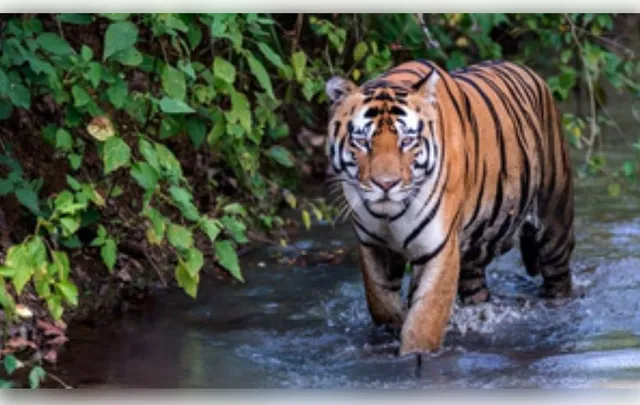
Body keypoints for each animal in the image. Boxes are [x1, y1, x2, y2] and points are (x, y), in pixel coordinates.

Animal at [324, 59, 575, 355]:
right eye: (362, 142)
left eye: (407, 141)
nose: (386, 184)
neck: (389, 215)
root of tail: (528, 71)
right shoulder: (373, 245)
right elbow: (381, 302)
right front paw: (393, 327)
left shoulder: (438, 247)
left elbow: (424, 319)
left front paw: (414, 353)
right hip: (475, 251)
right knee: (476, 289)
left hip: (554, 222)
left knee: (558, 278)